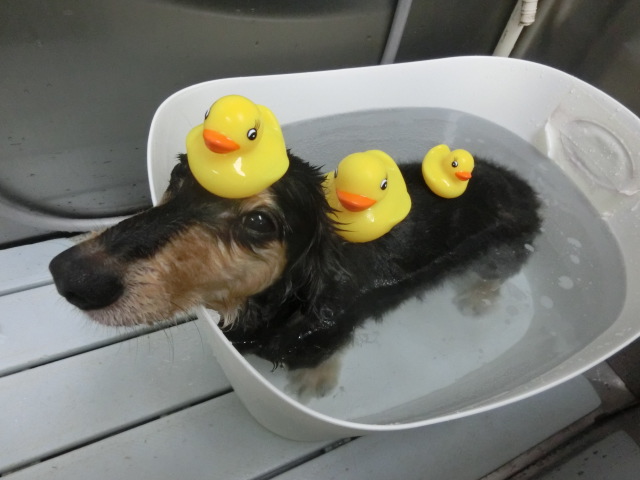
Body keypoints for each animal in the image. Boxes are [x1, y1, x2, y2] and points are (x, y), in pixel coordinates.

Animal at [49, 151, 541, 396]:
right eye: (180, 178)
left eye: (259, 222)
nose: (71, 275)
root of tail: (522, 185)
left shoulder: (329, 328)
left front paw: (314, 382)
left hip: (504, 248)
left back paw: (478, 297)